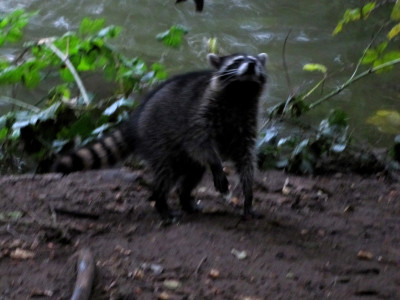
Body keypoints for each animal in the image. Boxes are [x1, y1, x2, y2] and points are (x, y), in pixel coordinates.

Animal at [51, 52, 268, 220]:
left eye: (255, 62)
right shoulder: (200, 114)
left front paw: (248, 195)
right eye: (237, 61)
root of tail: (136, 120)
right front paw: (217, 165)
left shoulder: (246, 122)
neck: (240, 92)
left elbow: (246, 158)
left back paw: (184, 197)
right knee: (166, 172)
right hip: (156, 137)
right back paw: (161, 202)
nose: (251, 64)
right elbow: (198, 140)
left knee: (193, 171)